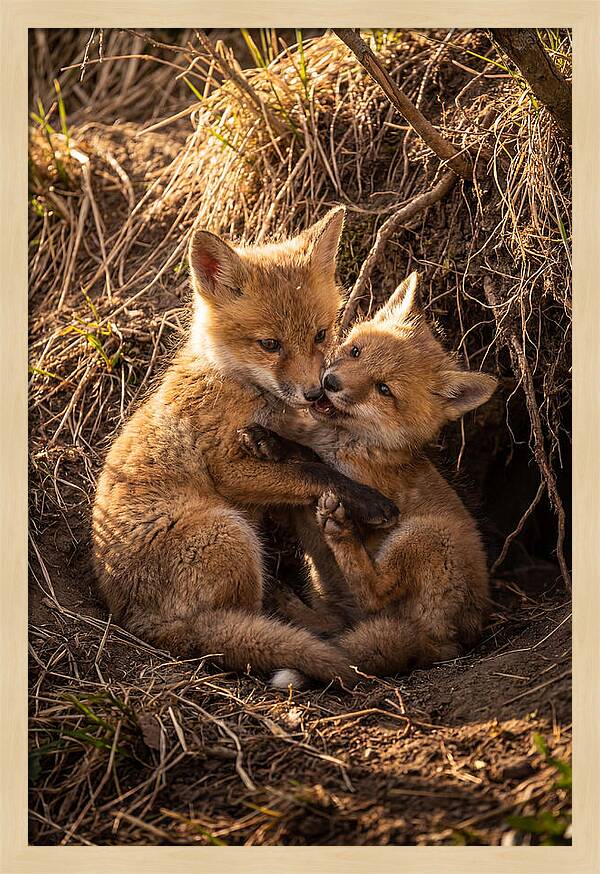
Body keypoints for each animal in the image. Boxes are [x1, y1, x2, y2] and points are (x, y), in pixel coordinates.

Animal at [91, 207, 399, 687]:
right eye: (270, 344)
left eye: (320, 334)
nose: (315, 393)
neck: (236, 384)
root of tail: (138, 622)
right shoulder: (228, 469)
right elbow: (313, 471)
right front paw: (368, 500)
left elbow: (306, 456)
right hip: (230, 532)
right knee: (244, 623)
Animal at [237, 272, 497, 689]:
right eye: (356, 351)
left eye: (384, 389)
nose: (330, 382)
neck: (346, 441)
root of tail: (451, 643)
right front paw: (268, 439)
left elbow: (314, 461)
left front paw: (278, 445)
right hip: (329, 588)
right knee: (336, 624)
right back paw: (290, 604)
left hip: (425, 536)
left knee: (375, 592)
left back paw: (339, 532)